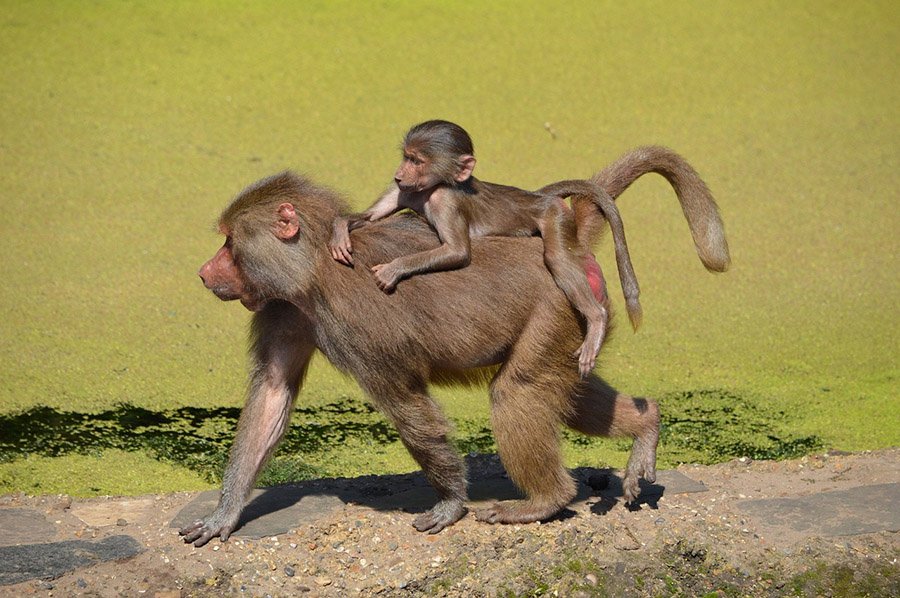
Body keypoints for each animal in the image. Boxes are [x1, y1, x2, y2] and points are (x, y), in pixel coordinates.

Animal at [329, 120, 641, 378]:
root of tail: (538, 197)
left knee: (556, 259)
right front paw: (340, 229)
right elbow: (372, 216)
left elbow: (457, 252)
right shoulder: (404, 192)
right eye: (406, 157)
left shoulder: (446, 203)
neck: (432, 188)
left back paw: (596, 319)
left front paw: (393, 270)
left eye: (416, 160)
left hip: (554, 216)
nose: (398, 174)